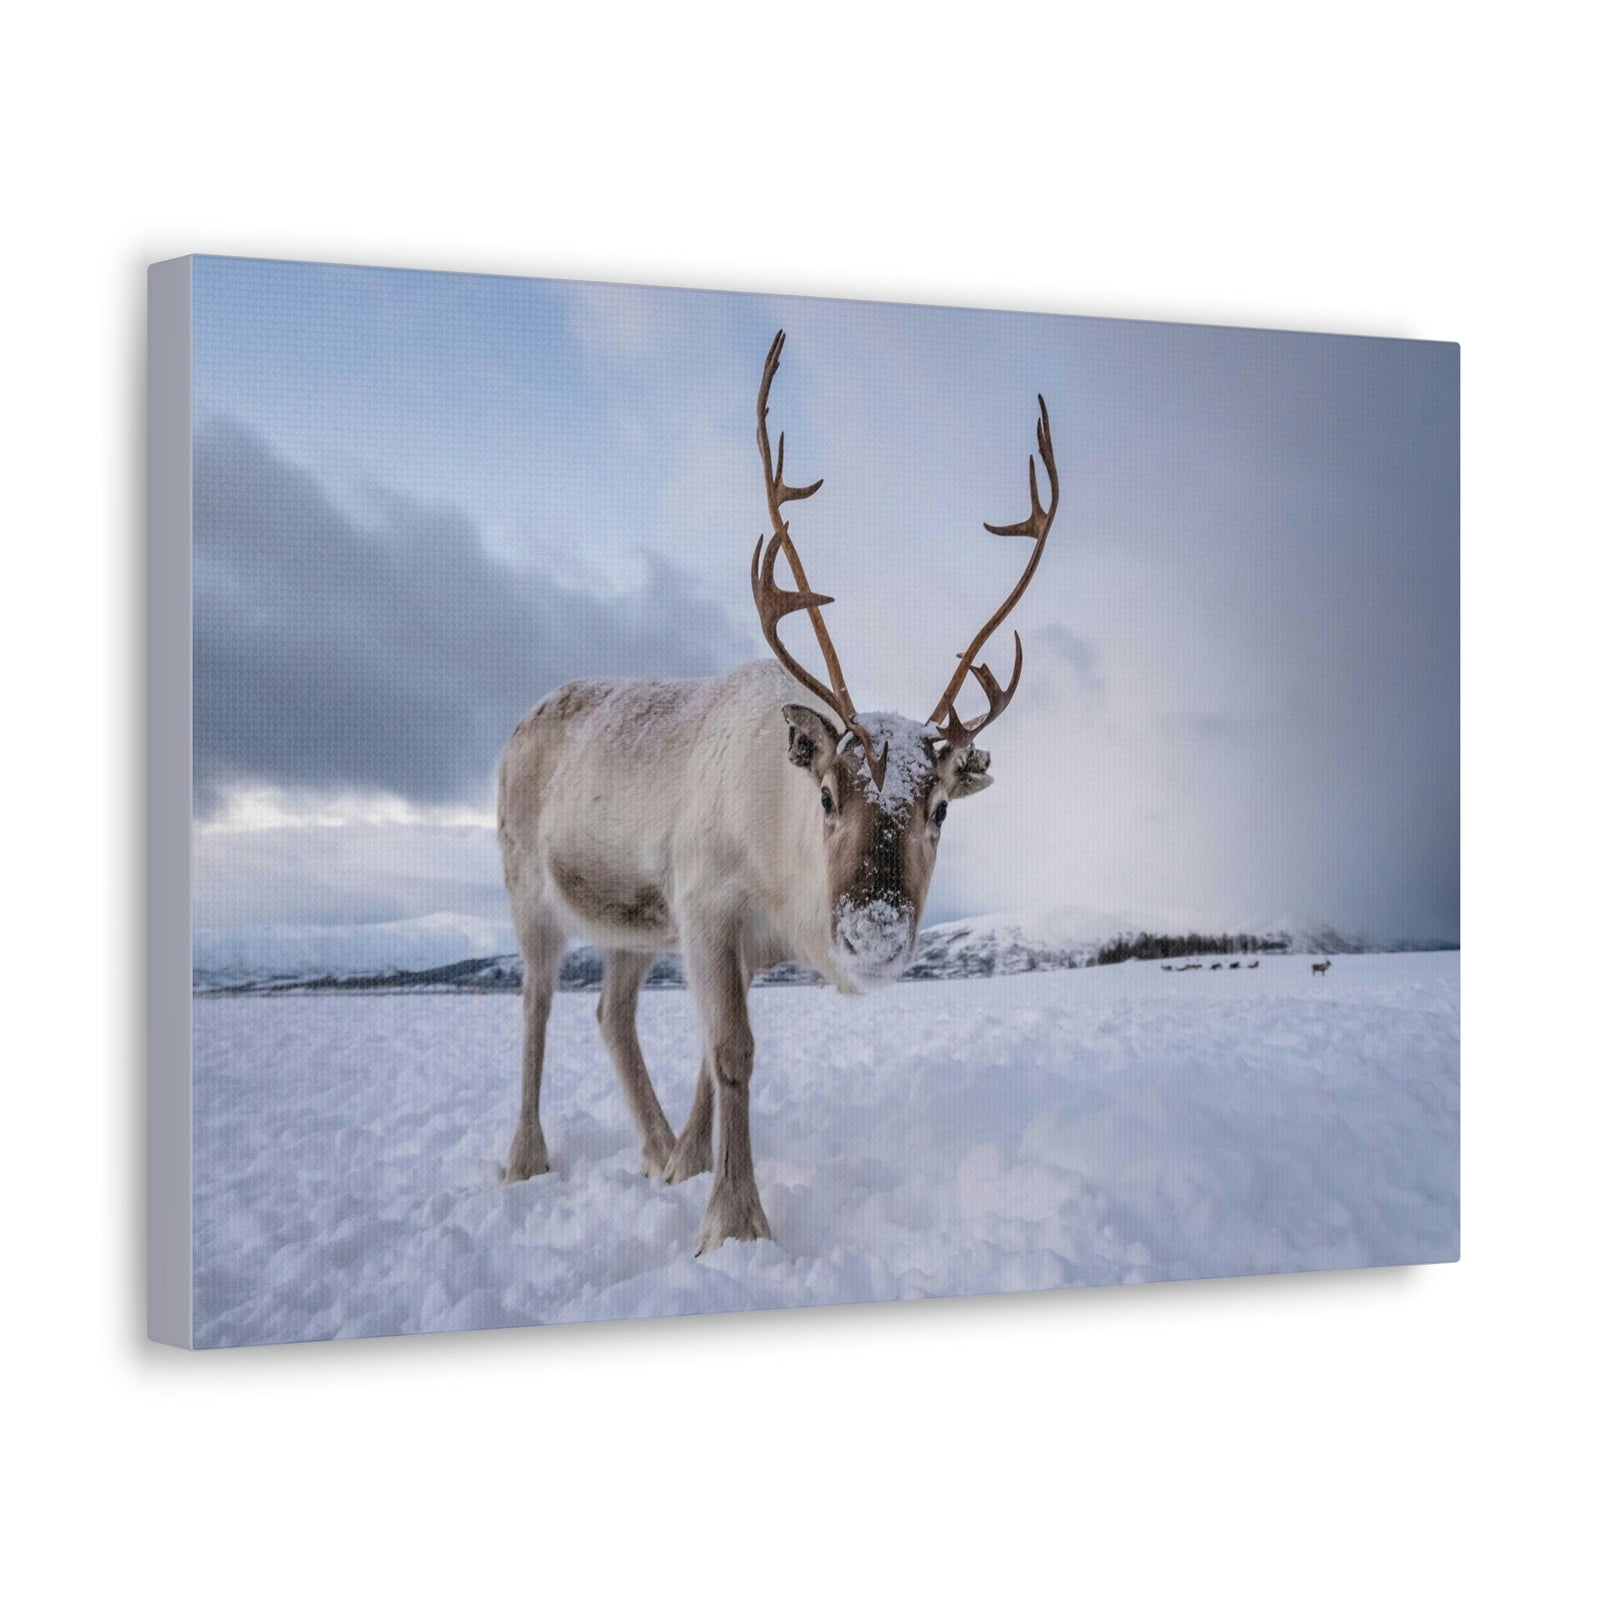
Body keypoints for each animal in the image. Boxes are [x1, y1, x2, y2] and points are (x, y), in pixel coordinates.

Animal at [495, 332, 1059, 1252]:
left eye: (940, 807)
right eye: (828, 794)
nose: (873, 934)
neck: (779, 867)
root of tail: (523, 719)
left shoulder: (732, 941)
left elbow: (707, 1055)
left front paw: (688, 1167)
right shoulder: (705, 905)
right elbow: (733, 1052)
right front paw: (734, 1221)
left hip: (631, 926)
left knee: (611, 1013)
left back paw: (654, 1149)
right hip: (529, 892)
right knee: (537, 1004)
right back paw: (525, 1159)